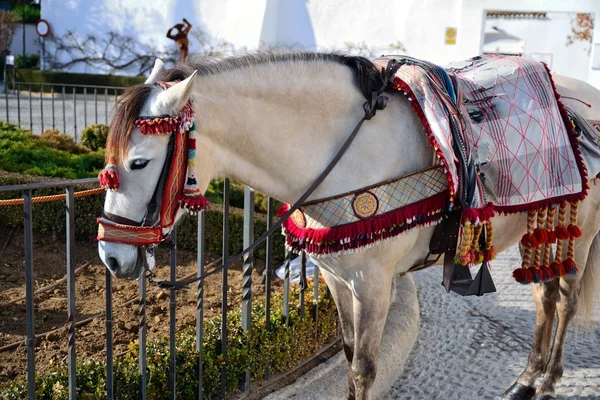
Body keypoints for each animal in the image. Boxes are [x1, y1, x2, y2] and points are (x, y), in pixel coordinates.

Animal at [98, 54, 600, 400]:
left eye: (139, 162)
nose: (111, 256)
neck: (341, 154)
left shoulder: (374, 285)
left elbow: (364, 367)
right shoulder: (336, 279)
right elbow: (346, 354)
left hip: (580, 234)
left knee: (564, 300)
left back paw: (548, 381)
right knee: (543, 298)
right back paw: (526, 379)